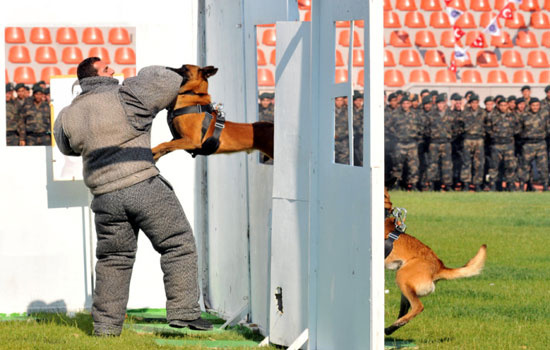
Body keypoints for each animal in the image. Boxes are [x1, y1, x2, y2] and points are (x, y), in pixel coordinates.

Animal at [384, 190, 488, 334]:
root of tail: (439, 268)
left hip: (402, 277)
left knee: (418, 307)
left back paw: (395, 325)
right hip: (405, 286)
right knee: (405, 310)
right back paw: (392, 327)